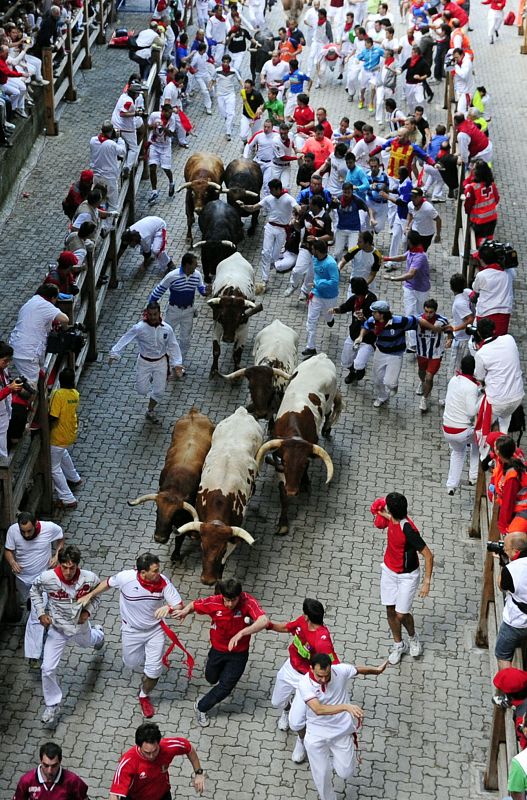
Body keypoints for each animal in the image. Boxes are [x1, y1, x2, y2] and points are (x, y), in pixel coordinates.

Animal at [127, 410, 216, 560]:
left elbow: (180, 536)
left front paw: (176, 554)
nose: (159, 538)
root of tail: (193, 412)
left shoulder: (184, 518)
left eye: (174, 515)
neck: (176, 486)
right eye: (157, 511)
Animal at [175, 410, 264, 584]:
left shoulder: (232, 540)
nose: (207, 580)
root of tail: (241, 412)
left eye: (222, 549)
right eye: (203, 546)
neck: (220, 499)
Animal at [255, 354, 342, 536]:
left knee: (329, 412)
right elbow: (282, 495)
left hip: (329, 400)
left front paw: (306, 483)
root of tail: (321, 356)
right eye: (285, 462)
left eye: (303, 464)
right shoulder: (279, 462)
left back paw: (327, 428)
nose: (292, 491)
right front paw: (283, 522)